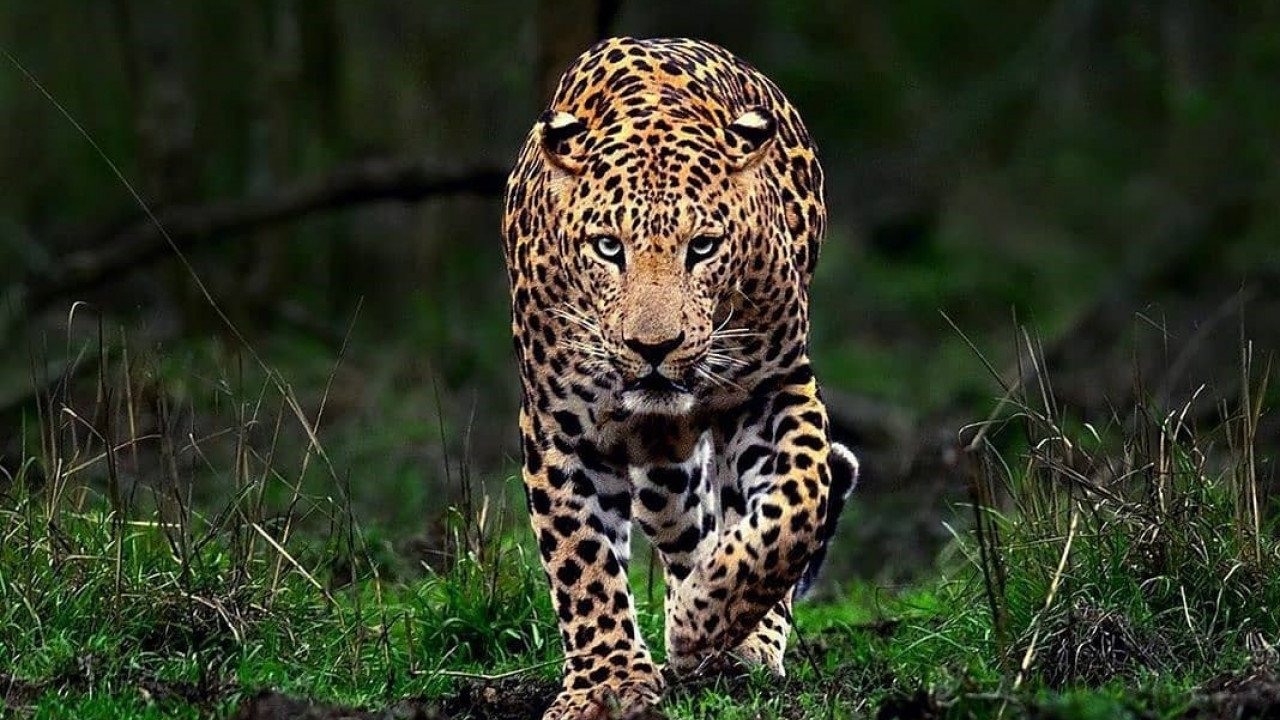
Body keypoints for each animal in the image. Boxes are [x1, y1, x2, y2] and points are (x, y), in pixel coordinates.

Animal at [501, 36, 859, 720]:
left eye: (703, 247)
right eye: (608, 247)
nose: (653, 347)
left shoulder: (775, 385)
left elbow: (799, 503)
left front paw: (703, 620)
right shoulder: (559, 426)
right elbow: (581, 560)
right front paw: (608, 684)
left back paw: (738, 637)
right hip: (662, 470)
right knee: (684, 525)